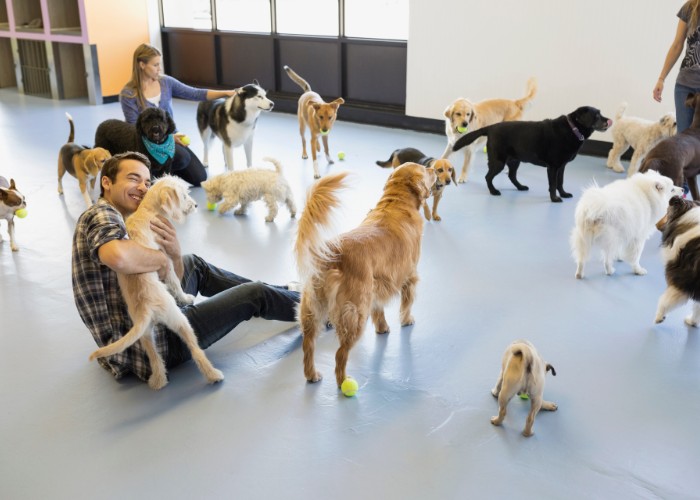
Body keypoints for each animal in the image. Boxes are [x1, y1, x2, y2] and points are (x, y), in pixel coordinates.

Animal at [87, 176, 223, 390]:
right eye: (184, 195)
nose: (195, 205)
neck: (148, 210)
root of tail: (147, 308)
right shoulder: (165, 260)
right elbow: (175, 282)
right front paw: (185, 297)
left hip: (145, 335)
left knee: (155, 358)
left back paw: (158, 381)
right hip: (180, 320)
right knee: (195, 350)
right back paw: (213, 375)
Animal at [296, 163, 438, 386]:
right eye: (425, 169)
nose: (433, 168)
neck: (396, 203)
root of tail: (332, 251)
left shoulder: (377, 284)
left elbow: (379, 310)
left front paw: (382, 327)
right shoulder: (409, 276)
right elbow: (407, 304)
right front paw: (407, 320)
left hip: (312, 308)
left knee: (308, 344)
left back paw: (312, 374)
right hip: (356, 311)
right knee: (340, 353)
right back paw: (343, 381)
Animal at [454, 106, 612, 201]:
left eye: (601, 113)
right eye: (597, 115)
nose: (609, 120)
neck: (573, 129)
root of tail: (491, 127)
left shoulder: (561, 166)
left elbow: (560, 182)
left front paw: (564, 194)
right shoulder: (553, 167)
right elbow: (553, 184)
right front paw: (555, 199)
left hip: (514, 160)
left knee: (511, 176)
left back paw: (520, 187)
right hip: (499, 161)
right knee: (488, 177)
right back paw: (493, 191)